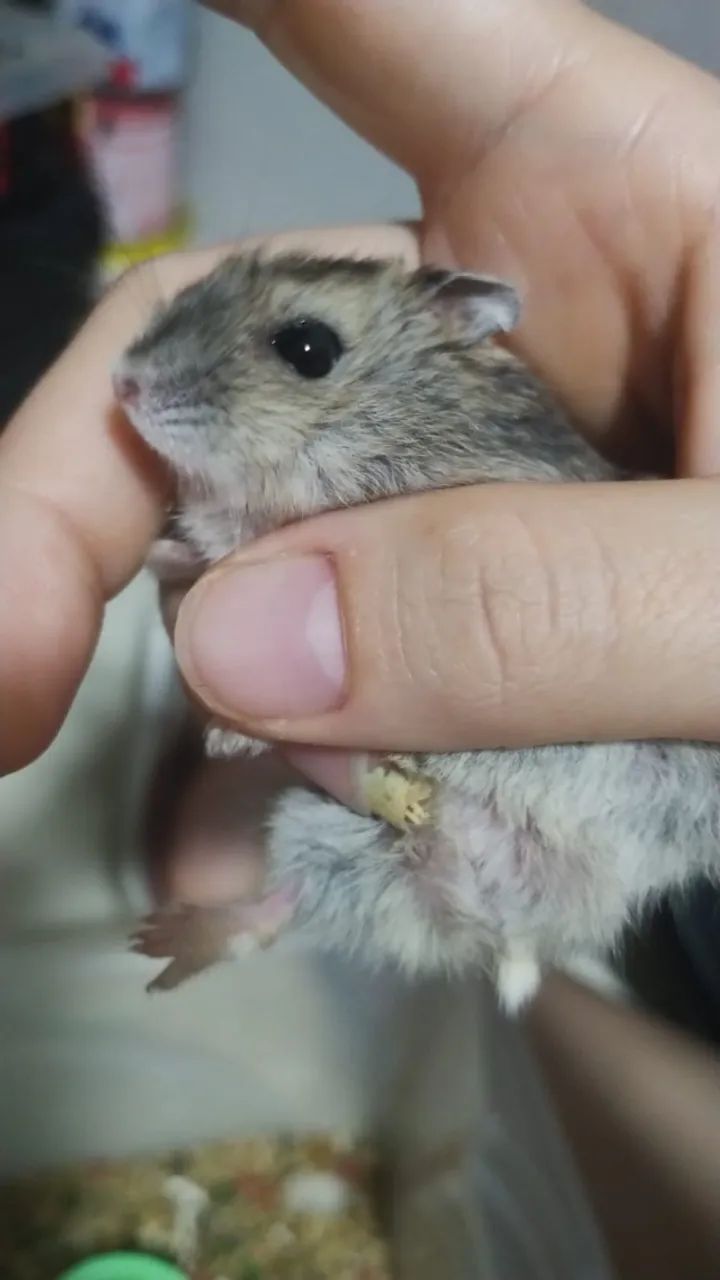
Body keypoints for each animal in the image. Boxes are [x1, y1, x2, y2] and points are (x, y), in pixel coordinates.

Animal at [115, 252, 719, 1012]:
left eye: (308, 348)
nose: (122, 382)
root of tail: (495, 926)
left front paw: (229, 734)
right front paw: (163, 558)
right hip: (323, 834)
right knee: (274, 912)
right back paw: (163, 945)